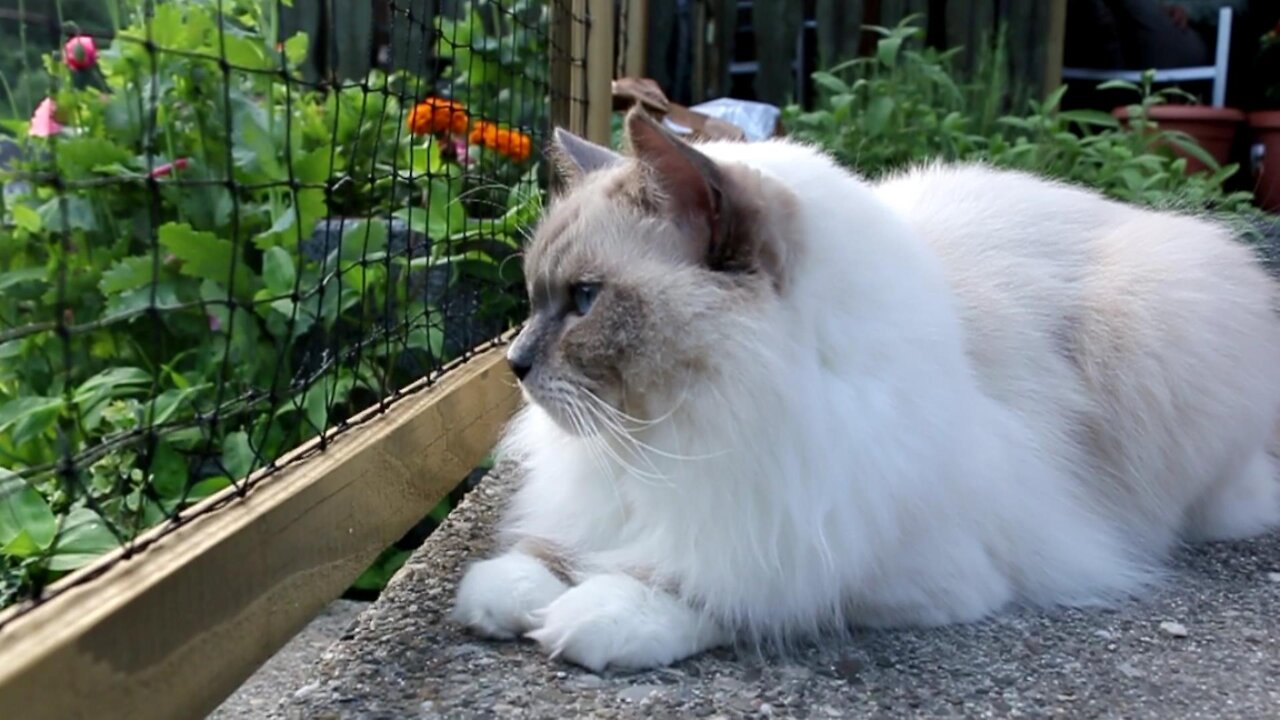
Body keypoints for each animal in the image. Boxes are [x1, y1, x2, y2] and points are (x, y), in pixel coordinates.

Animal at [448, 109, 1280, 671]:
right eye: (533, 299)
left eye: (584, 300)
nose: (514, 363)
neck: (686, 431)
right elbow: (564, 544)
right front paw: (519, 590)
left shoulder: (892, 569)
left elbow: (738, 591)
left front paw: (601, 613)